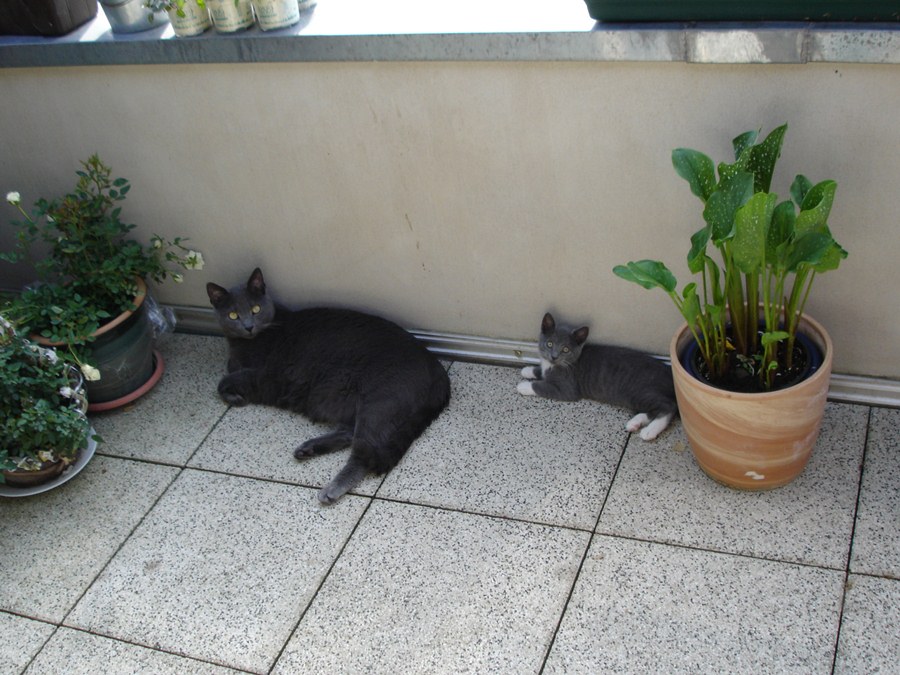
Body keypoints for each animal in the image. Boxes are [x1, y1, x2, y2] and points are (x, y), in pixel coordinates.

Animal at [208, 266, 454, 504]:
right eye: (233, 315)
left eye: (256, 309)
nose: (248, 326)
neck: (247, 342)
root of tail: (438, 370)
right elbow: (229, 370)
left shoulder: (267, 375)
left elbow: (225, 380)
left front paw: (235, 397)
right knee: (349, 432)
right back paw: (308, 449)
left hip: (379, 402)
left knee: (364, 453)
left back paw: (331, 490)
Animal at [512, 312, 676, 440]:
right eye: (550, 344)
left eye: (565, 349)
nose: (554, 356)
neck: (560, 364)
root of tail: (668, 372)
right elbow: (541, 372)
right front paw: (528, 370)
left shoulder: (567, 389)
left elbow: (542, 386)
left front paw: (524, 385)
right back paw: (635, 422)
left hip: (639, 391)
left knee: (669, 406)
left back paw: (649, 431)